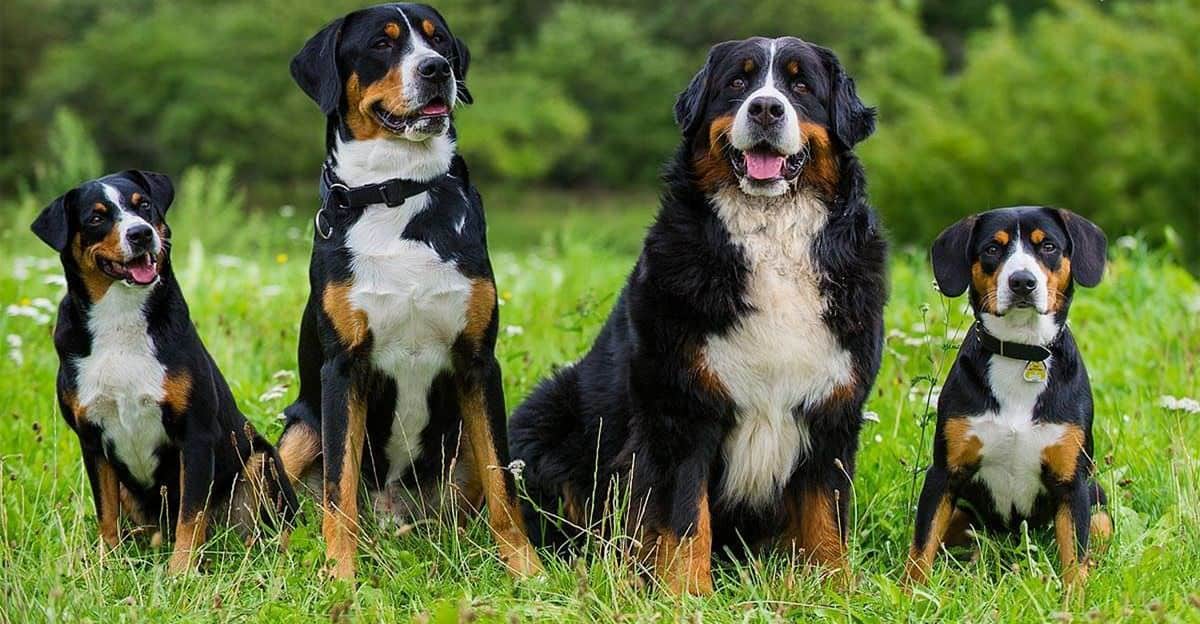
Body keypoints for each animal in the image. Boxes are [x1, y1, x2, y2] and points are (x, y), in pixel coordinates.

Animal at [32, 170, 300, 576]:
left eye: (144, 205)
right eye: (96, 218)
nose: (141, 233)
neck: (120, 321)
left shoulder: (195, 434)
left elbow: (191, 513)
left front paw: (181, 572)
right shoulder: (92, 438)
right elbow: (105, 512)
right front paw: (107, 563)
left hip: (259, 462)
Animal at [274, 2, 542, 583]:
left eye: (438, 41)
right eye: (382, 43)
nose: (436, 69)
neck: (397, 191)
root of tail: (393, 513)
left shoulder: (477, 362)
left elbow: (503, 488)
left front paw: (526, 569)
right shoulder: (342, 368)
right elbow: (339, 491)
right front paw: (340, 578)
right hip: (299, 431)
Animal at [501, 36, 888, 592]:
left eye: (800, 86)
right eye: (738, 82)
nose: (766, 108)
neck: (769, 241)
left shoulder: (831, 410)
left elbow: (824, 518)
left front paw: (833, 590)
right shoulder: (680, 407)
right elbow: (685, 516)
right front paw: (686, 592)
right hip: (548, 415)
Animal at [907, 206, 1113, 590]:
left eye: (1048, 246)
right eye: (992, 248)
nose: (1022, 282)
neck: (1020, 352)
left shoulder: (1072, 484)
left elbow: (1074, 559)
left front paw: (1075, 598)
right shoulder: (943, 474)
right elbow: (921, 546)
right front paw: (911, 594)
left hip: (1098, 501)